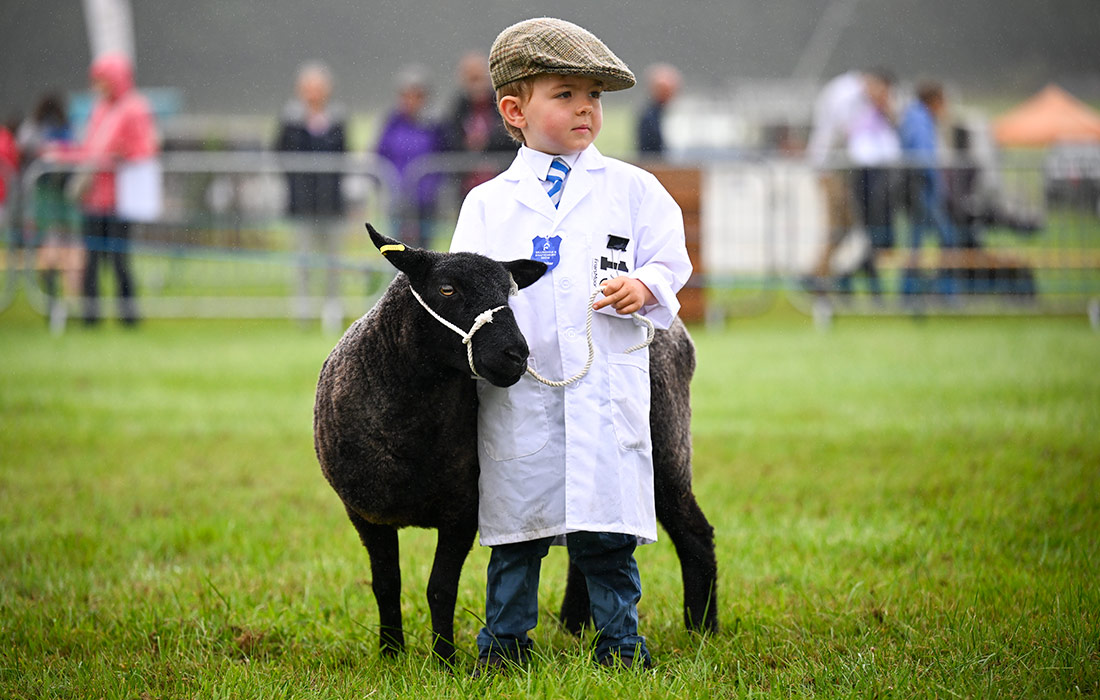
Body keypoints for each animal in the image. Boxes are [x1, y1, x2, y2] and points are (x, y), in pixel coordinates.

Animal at [314, 226, 717, 664]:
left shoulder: (462, 511)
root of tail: (674, 328)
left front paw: (444, 661)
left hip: (666, 448)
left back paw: (702, 631)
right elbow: (387, 585)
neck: (411, 431)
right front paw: (390, 655)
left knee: (694, 533)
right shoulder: (366, 513)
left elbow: (440, 589)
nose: (516, 354)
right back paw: (572, 627)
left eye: (509, 293)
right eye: (447, 288)